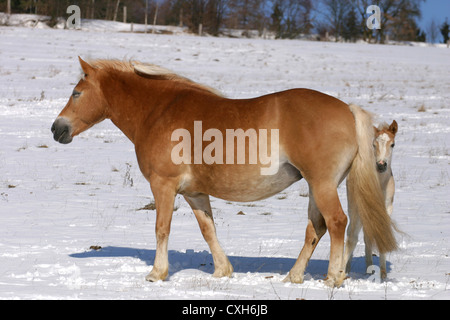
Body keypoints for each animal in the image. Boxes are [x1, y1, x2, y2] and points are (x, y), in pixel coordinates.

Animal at [344, 121, 398, 278]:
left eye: (392, 144)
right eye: (374, 144)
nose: (381, 165)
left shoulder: (386, 209)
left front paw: (383, 276)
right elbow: (353, 237)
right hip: (354, 209)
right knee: (351, 233)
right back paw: (347, 270)